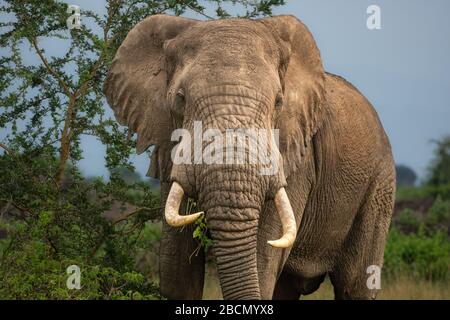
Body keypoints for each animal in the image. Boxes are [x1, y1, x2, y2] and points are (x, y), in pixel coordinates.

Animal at [103, 14, 396, 300]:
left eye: (278, 101)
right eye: (180, 98)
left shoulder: (297, 159)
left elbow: (262, 258)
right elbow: (177, 273)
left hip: (379, 186)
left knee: (355, 284)